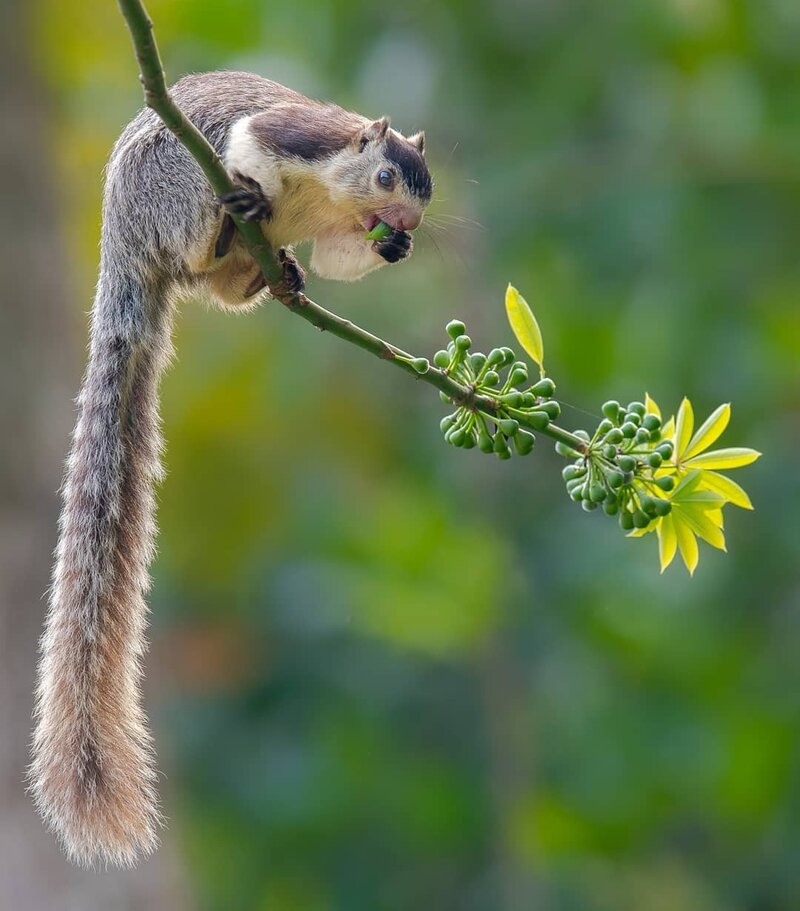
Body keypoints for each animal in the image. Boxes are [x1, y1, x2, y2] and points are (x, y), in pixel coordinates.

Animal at [30, 70, 432, 867]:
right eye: (384, 175)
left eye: (425, 192)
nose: (406, 219)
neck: (335, 199)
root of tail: (123, 242)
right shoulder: (295, 137)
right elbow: (256, 141)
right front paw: (257, 190)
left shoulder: (341, 231)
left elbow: (343, 254)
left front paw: (391, 247)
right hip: (176, 188)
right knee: (201, 234)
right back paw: (236, 215)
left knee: (224, 283)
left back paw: (280, 274)